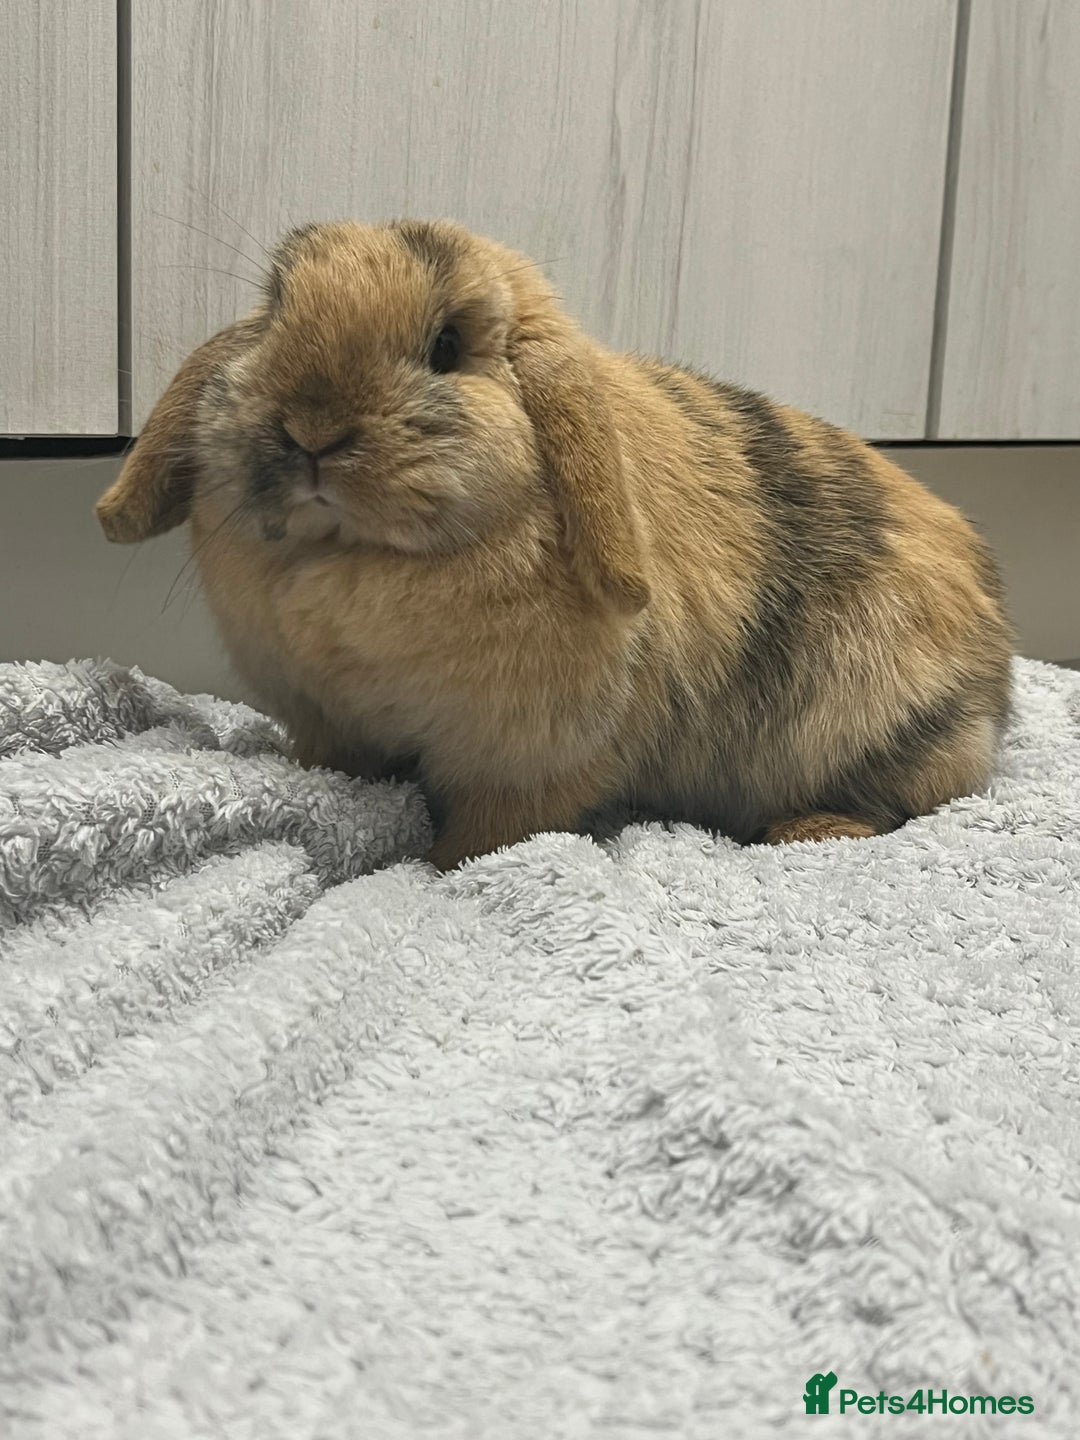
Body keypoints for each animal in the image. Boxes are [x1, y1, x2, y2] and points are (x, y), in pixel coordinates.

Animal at [96, 218, 1013, 869]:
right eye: (276, 313)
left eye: (447, 346)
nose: (312, 431)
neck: (356, 558)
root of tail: (994, 674)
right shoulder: (330, 722)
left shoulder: (529, 760)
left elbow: (489, 831)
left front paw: (432, 865)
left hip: (887, 732)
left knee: (899, 804)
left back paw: (807, 831)